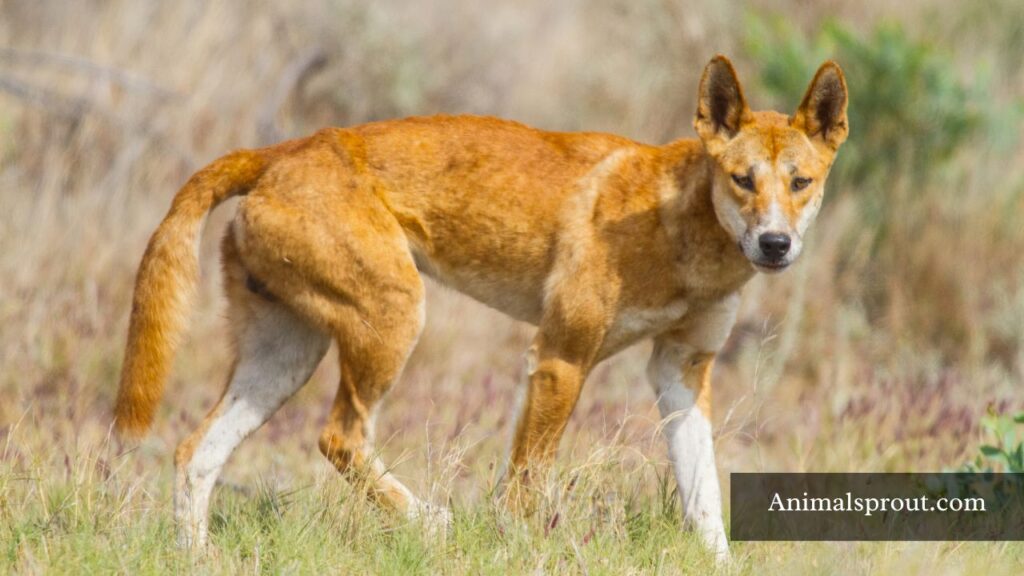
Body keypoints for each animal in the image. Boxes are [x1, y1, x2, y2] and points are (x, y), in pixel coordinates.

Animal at [114, 55, 847, 559]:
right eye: (743, 180)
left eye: (801, 184)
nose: (775, 244)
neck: (683, 229)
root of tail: (282, 148)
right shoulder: (561, 357)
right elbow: (526, 484)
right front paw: (517, 550)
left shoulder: (679, 370)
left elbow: (703, 497)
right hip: (394, 317)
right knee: (339, 437)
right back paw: (430, 521)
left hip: (285, 356)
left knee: (194, 452)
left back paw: (200, 558)